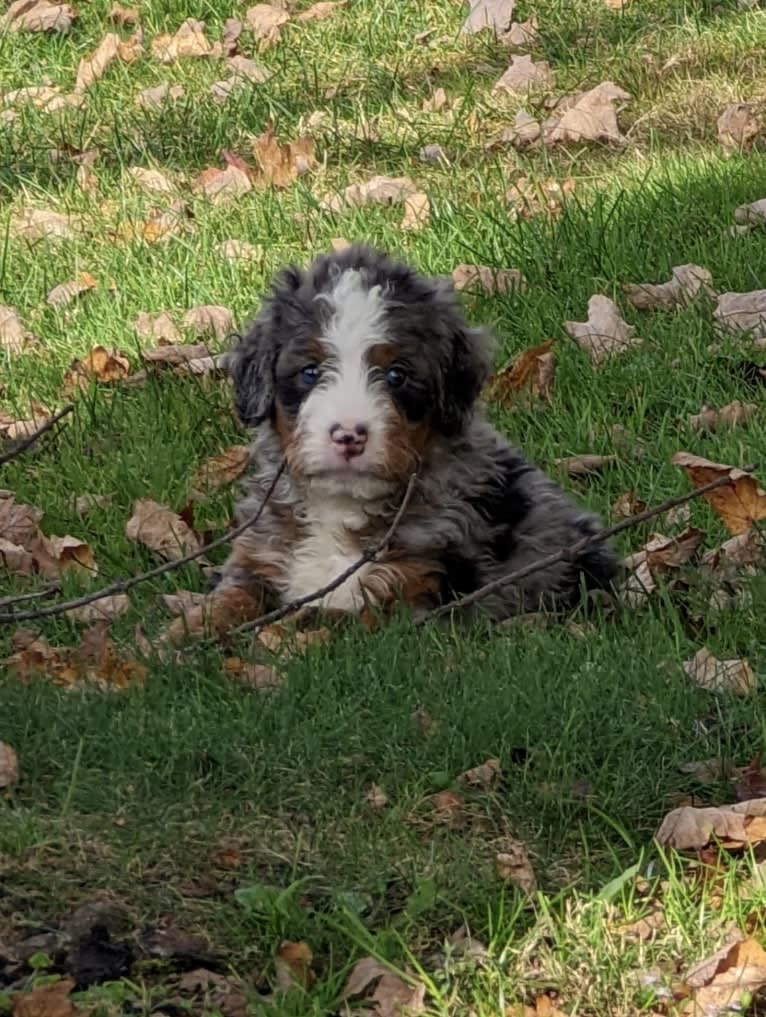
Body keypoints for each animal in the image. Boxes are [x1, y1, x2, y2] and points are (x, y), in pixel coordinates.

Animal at [195, 241, 614, 630]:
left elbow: (327, 621)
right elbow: (226, 604)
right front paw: (187, 634)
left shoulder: (406, 593)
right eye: (310, 372)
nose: (349, 435)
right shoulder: (257, 556)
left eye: (396, 375)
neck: (339, 508)